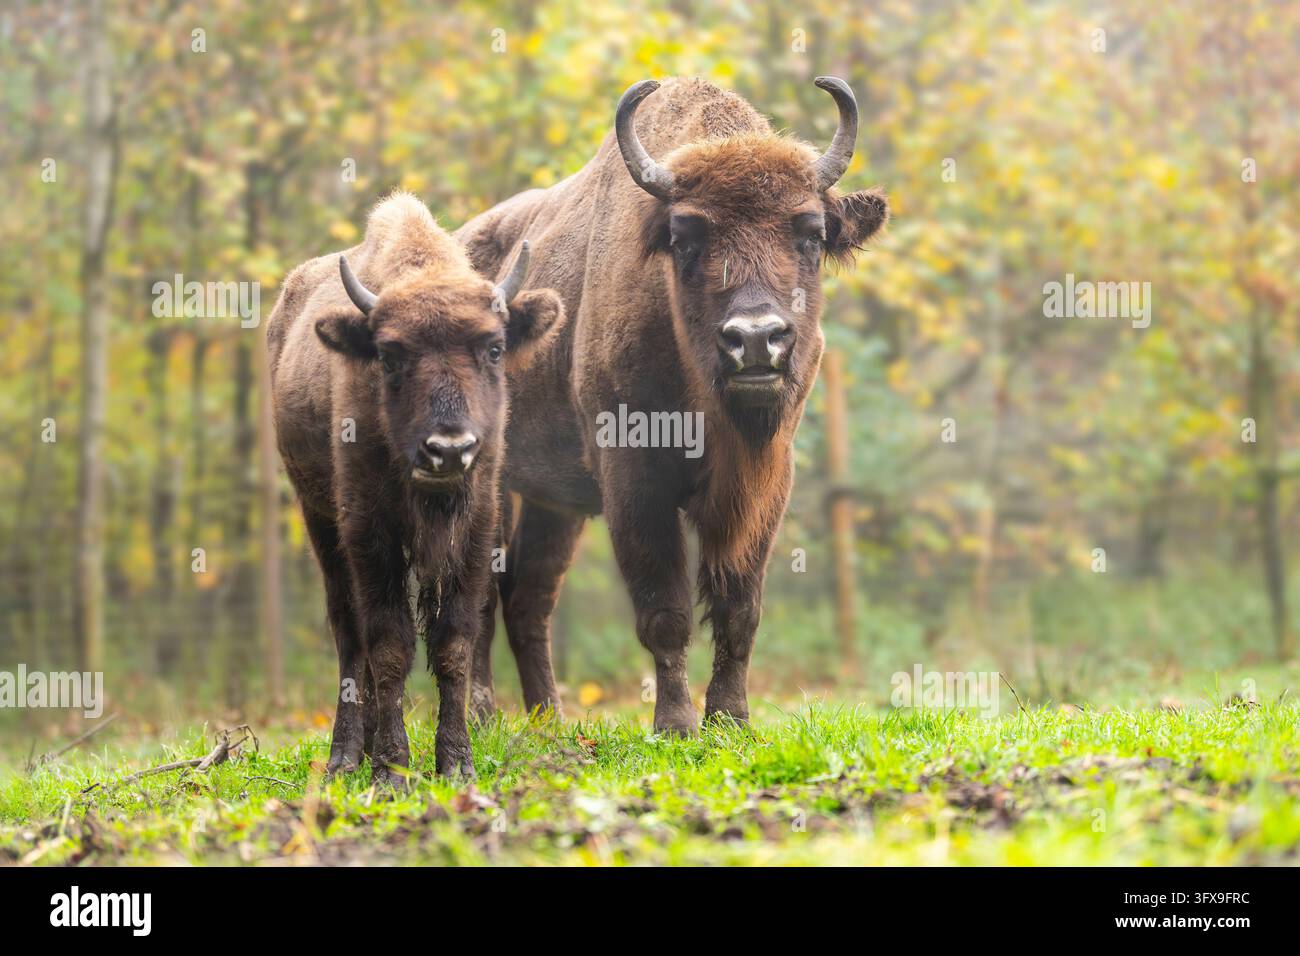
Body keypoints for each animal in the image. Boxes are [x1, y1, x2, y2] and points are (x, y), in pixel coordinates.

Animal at [267, 192, 562, 782]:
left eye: (495, 349)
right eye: (388, 355)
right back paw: (345, 756)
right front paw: (390, 769)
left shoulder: (477, 529)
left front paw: (456, 763)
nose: (447, 449)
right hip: (319, 521)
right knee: (349, 635)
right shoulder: (368, 531)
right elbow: (387, 647)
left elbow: (453, 644)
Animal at [456, 78, 888, 732]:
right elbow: (665, 611)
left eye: (811, 234)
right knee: (482, 593)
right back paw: (483, 715)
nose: (755, 339)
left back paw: (548, 719)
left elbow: (740, 608)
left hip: (555, 503)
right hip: (492, 482)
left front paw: (732, 718)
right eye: (685, 240)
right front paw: (676, 723)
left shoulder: (765, 482)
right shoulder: (633, 479)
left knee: (529, 597)